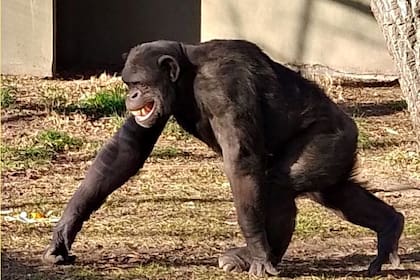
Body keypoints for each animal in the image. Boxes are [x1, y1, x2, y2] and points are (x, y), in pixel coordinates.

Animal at [42, 40, 404, 278]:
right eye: (128, 83)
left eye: (140, 82)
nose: (132, 95)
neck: (187, 76)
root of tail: (352, 128)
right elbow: (126, 149)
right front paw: (63, 233)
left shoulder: (223, 84)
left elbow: (240, 160)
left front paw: (257, 249)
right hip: (335, 156)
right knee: (336, 192)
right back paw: (390, 227)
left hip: (328, 141)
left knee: (278, 188)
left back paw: (258, 257)